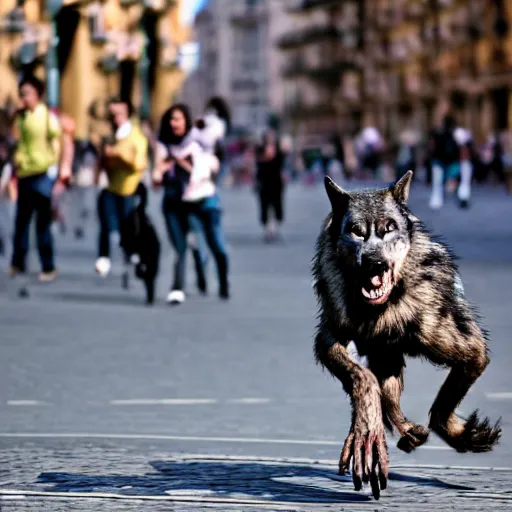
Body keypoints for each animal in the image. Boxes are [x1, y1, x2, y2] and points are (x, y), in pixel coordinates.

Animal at [312, 172, 500, 500]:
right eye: (356, 232)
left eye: (389, 228)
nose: (375, 262)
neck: (382, 312)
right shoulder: (330, 336)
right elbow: (363, 380)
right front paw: (367, 427)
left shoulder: (471, 350)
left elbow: (441, 409)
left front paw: (466, 435)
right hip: (385, 359)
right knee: (386, 394)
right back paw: (402, 430)